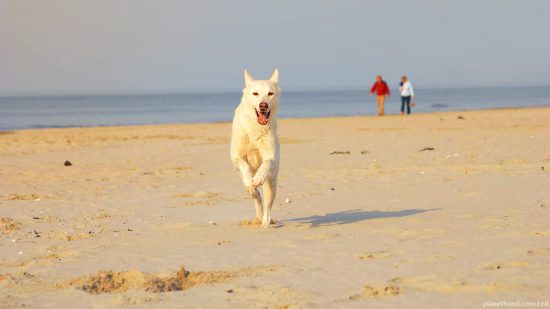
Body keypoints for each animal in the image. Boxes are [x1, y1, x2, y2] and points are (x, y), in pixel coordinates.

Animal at [230, 68, 280, 226]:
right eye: (255, 93)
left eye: (270, 93)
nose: (263, 105)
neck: (255, 127)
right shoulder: (236, 156)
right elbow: (244, 166)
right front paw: (250, 181)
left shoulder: (272, 156)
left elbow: (267, 162)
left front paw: (258, 177)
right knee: (256, 196)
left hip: (272, 184)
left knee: (267, 206)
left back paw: (265, 223)